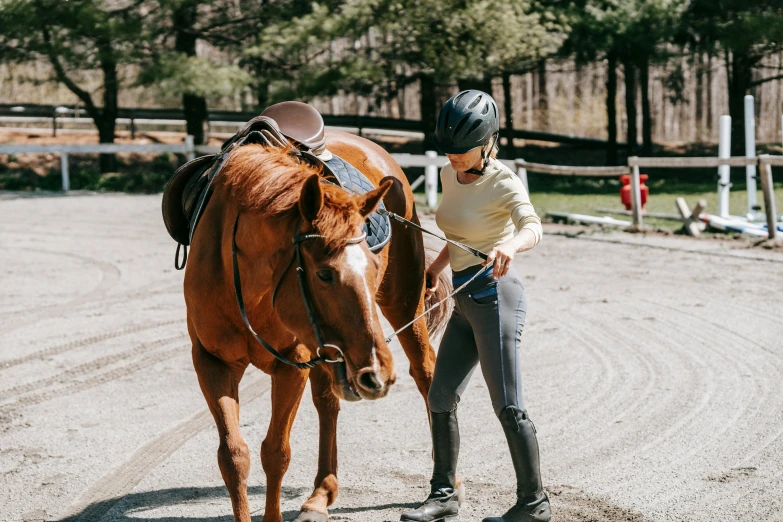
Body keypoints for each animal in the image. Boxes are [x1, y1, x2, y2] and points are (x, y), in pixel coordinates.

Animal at [184, 131, 450, 520]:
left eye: (374, 268)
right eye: (324, 274)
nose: (379, 371)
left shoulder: (291, 365)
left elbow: (276, 452)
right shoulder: (212, 362)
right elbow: (233, 456)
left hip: (401, 304)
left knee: (426, 372)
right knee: (327, 404)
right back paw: (320, 494)